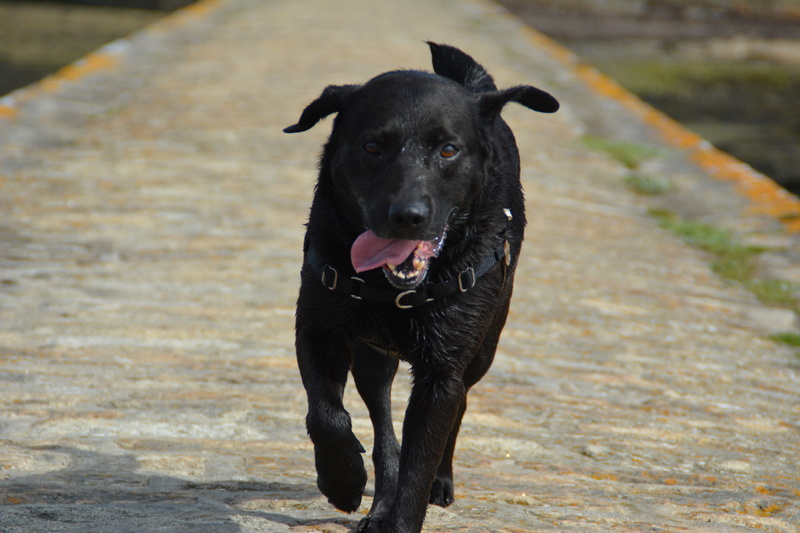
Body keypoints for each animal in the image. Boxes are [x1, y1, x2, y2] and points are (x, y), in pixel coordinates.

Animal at [286, 42, 556, 532]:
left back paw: (440, 484)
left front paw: (405, 510)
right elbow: (327, 415)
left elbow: (421, 463)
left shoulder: (442, 373)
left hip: (482, 351)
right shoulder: (317, 329)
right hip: (374, 359)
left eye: (449, 149)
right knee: (385, 432)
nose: (408, 216)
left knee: (459, 408)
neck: (390, 287)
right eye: (372, 145)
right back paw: (376, 502)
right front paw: (343, 480)